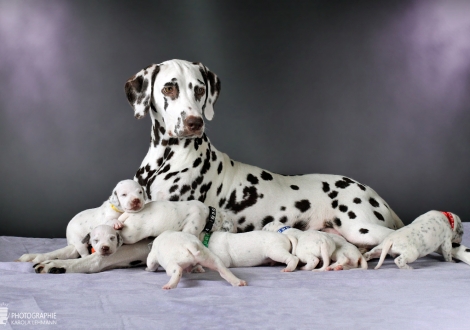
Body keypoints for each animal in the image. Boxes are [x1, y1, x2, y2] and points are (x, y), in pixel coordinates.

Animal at [26, 59, 470, 274]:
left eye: (199, 89)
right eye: (168, 87)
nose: (194, 122)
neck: (168, 159)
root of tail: (374, 193)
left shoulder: (146, 241)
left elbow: (100, 258)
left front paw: (67, 264)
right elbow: (76, 244)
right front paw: (46, 255)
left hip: (364, 227)